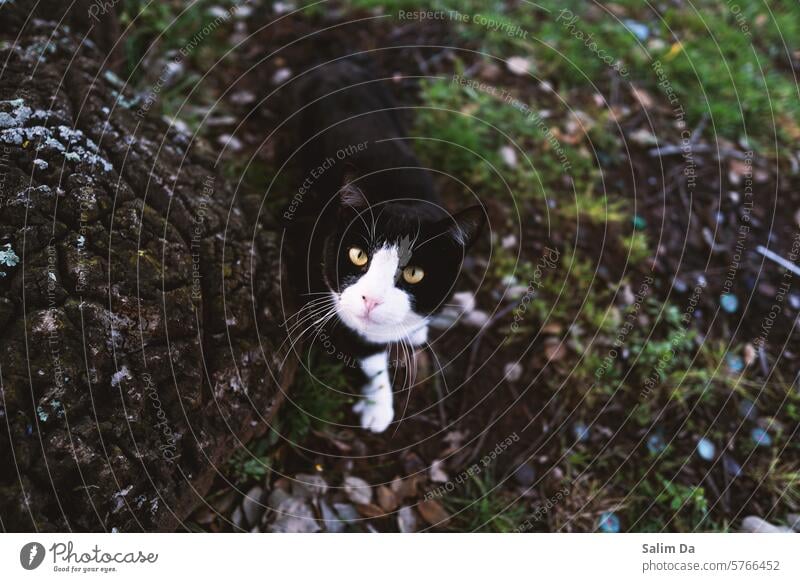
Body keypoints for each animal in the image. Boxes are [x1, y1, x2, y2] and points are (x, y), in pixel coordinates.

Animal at [282, 60, 482, 434]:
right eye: (358, 255)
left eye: (414, 273)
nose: (371, 299)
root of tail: (337, 64)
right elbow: (367, 351)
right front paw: (378, 404)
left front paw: (415, 329)